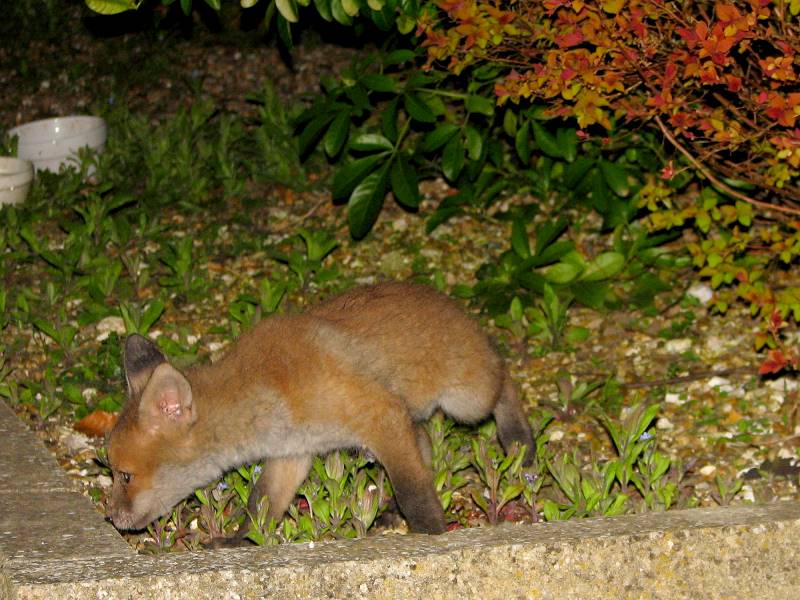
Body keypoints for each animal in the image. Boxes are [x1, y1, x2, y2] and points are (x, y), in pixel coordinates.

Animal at [105, 282, 534, 538]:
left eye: (125, 476)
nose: (110, 518)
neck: (266, 390)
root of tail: (450, 301)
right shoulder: (292, 452)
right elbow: (261, 506)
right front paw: (237, 544)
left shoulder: (380, 414)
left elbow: (414, 492)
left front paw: (430, 534)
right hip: (417, 417)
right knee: (426, 441)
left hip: (467, 402)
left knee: (504, 381)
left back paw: (521, 443)